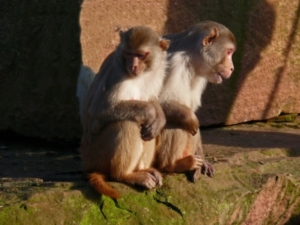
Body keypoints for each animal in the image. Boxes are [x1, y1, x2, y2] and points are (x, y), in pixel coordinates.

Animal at [78, 26, 170, 199]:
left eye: (140, 55)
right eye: (128, 53)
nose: (133, 66)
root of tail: (87, 163)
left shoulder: (157, 71)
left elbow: (151, 99)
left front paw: (159, 119)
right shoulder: (116, 75)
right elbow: (100, 108)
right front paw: (150, 112)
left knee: (146, 130)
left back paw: (142, 169)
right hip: (97, 154)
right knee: (127, 123)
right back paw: (125, 175)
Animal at [155, 21, 237, 182]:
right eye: (229, 52)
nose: (232, 68)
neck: (191, 62)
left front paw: (203, 160)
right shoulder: (174, 63)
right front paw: (190, 119)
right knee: (175, 122)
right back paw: (172, 165)